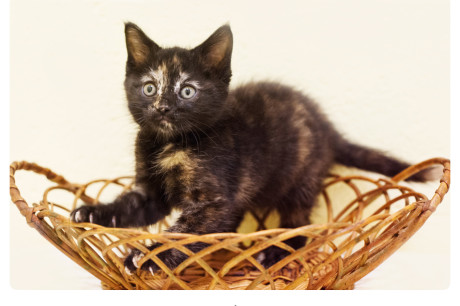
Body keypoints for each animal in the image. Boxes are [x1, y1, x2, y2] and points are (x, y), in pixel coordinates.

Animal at [71, 22, 434, 274]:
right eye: (149, 88)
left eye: (187, 91)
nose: (162, 108)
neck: (170, 144)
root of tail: (327, 128)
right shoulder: (150, 191)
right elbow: (131, 206)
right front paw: (93, 212)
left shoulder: (212, 201)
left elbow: (182, 232)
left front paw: (147, 256)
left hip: (300, 177)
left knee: (298, 225)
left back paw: (274, 252)